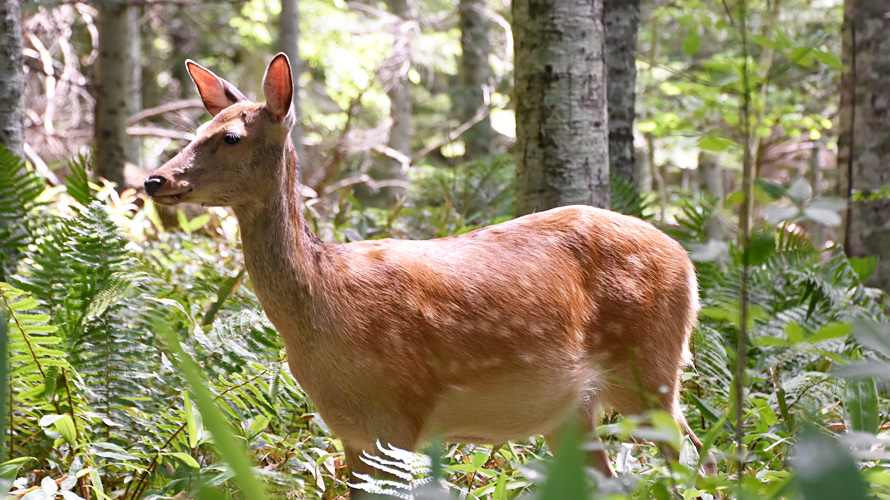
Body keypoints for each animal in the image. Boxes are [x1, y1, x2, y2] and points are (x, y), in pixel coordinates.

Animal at [144, 52, 716, 494]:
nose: (155, 179)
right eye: (195, 130)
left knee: (699, 457)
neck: (325, 305)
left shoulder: (399, 409)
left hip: (650, 367)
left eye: (231, 137)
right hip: (575, 408)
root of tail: (687, 263)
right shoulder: (350, 431)